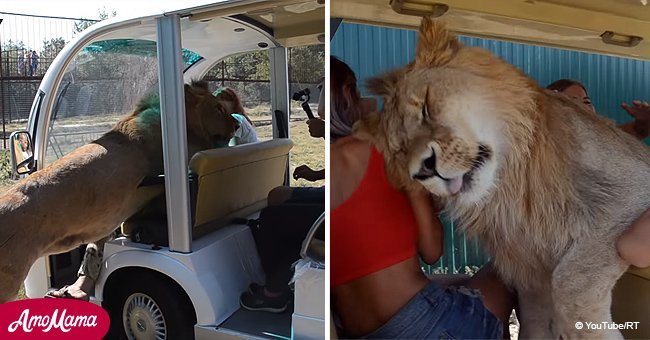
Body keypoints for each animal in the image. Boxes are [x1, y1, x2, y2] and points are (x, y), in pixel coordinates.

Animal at [354, 17, 648, 338]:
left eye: (426, 108)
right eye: (400, 150)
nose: (424, 170)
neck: (511, 187)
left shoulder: (632, 192)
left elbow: (570, 279)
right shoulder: (531, 276)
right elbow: (537, 319)